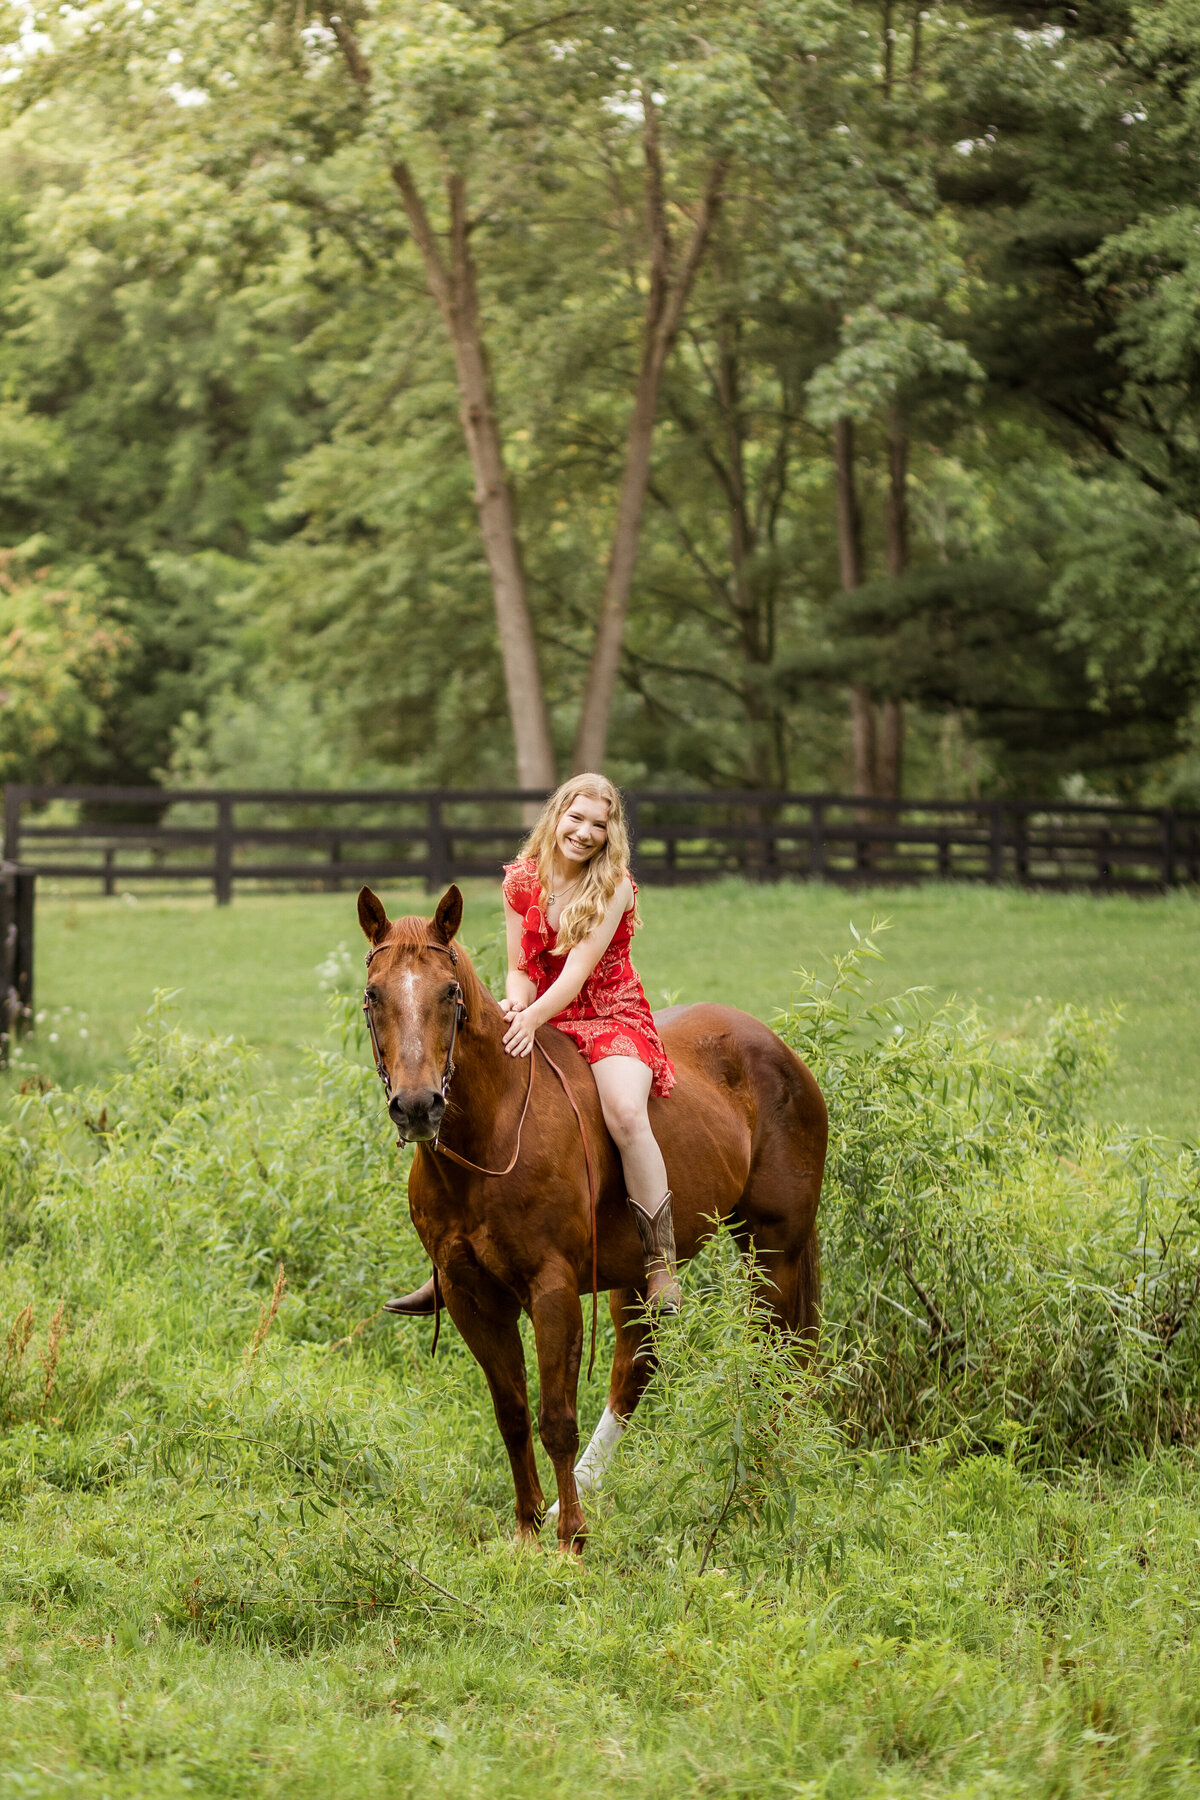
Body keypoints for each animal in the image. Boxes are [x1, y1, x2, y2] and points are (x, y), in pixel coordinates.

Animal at [356, 882, 827, 1548]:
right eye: (374, 995)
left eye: (449, 993)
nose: (418, 1107)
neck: (492, 1134)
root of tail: (780, 1051)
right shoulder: (472, 1296)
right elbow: (512, 1413)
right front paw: (530, 1528)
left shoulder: (552, 1291)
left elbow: (556, 1417)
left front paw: (571, 1541)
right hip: (638, 1274)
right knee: (636, 1369)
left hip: (774, 1252)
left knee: (778, 1361)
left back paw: (758, 1489)